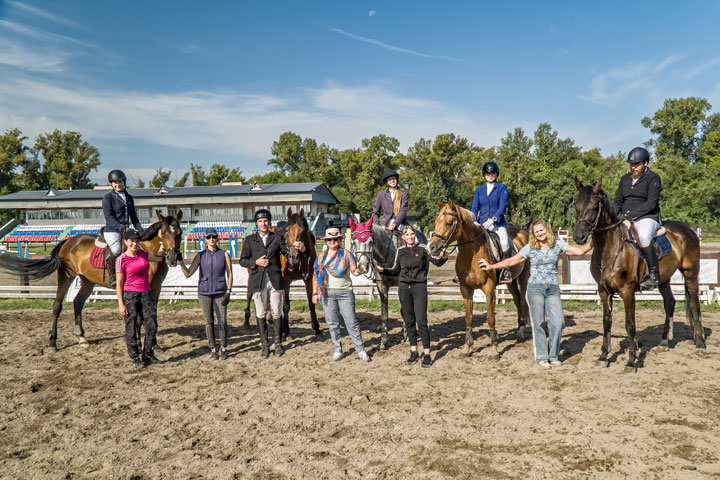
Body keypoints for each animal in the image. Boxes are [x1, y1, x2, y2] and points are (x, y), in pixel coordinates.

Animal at [0, 210, 183, 352]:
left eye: (179, 232)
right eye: (163, 233)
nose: (173, 258)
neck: (147, 252)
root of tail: (68, 241)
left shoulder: (156, 288)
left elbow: (152, 315)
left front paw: (154, 345)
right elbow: (139, 317)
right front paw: (140, 344)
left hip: (87, 280)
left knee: (77, 303)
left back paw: (82, 338)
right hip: (66, 276)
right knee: (57, 306)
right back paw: (53, 344)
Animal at [350, 216, 428, 346]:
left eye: (370, 241)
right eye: (354, 242)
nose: (362, 267)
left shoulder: (403, 286)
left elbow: (405, 311)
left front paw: (408, 336)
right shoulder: (381, 286)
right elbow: (384, 315)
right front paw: (383, 341)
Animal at [428, 197, 528, 358]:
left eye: (448, 223)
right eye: (436, 221)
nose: (431, 247)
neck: (472, 254)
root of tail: (523, 232)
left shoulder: (489, 288)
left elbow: (490, 318)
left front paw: (494, 349)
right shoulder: (465, 288)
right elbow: (469, 317)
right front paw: (466, 348)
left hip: (524, 278)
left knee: (523, 301)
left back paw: (521, 331)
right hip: (511, 282)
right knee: (518, 300)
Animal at [572, 179, 708, 372]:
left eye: (593, 206)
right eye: (576, 205)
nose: (578, 237)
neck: (610, 247)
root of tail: (687, 229)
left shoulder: (627, 291)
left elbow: (630, 324)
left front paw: (631, 360)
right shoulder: (604, 291)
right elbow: (607, 321)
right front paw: (603, 356)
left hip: (690, 273)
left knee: (695, 304)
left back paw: (700, 343)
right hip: (664, 279)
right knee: (670, 302)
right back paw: (664, 342)